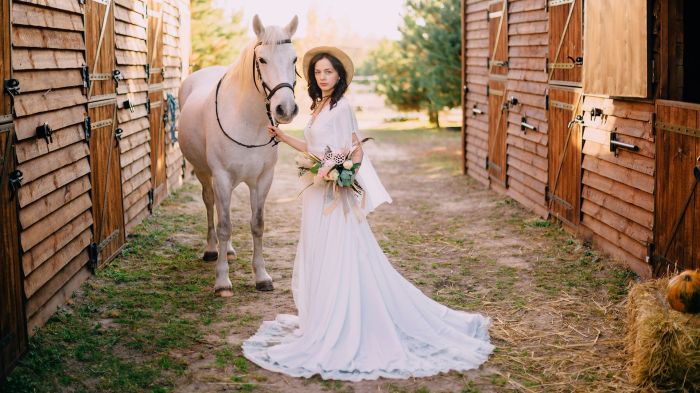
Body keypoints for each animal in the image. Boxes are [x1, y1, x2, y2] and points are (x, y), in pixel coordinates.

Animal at [178, 16, 298, 298]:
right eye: (262, 60)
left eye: (294, 59)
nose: (285, 109)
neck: (247, 121)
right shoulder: (221, 177)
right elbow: (224, 226)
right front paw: (222, 281)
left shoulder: (263, 179)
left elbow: (257, 224)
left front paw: (262, 277)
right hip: (204, 173)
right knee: (211, 205)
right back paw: (213, 250)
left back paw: (229, 251)